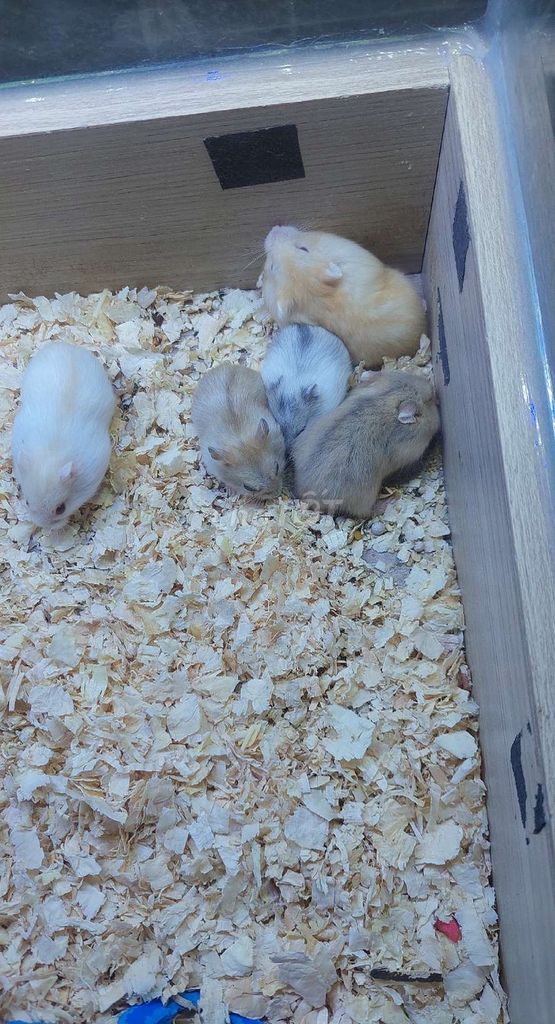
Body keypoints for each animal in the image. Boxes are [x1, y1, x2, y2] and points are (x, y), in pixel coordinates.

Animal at [192, 362, 285, 497]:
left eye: (277, 467)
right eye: (248, 487)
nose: (276, 494)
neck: (238, 438)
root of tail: (224, 365)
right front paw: (231, 491)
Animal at [292, 369, 439, 520]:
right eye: (428, 400)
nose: (433, 388)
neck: (386, 398)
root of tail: (306, 495)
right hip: (365, 498)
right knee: (367, 512)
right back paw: (388, 501)